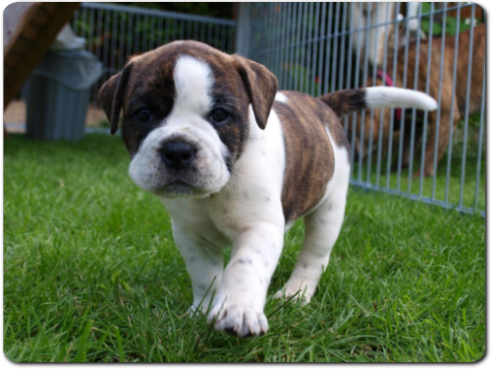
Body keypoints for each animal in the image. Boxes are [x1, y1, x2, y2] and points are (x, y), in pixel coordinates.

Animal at [98, 39, 434, 338]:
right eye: (143, 114)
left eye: (220, 115)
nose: (178, 150)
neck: (215, 191)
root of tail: (322, 104)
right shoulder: (190, 236)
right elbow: (205, 275)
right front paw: (202, 308)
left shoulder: (259, 228)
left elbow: (244, 268)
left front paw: (238, 311)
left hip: (329, 209)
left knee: (314, 256)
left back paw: (295, 294)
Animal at [326, 24, 484, 177]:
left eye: (350, 131)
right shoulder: (413, 123)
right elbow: (406, 149)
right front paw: (395, 170)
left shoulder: (445, 115)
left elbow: (430, 152)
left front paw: (419, 176)